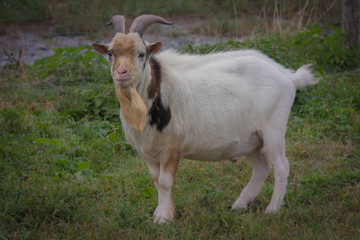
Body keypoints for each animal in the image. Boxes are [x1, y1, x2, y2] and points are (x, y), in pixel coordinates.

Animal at [92, 15, 318, 224]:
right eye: (111, 53)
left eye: (141, 54)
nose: (121, 72)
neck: (156, 90)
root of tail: (287, 76)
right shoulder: (148, 152)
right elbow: (156, 181)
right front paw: (159, 212)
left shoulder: (172, 148)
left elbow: (165, 182)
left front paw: (164, 218)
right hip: (251, 139)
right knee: (261, 168)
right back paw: (240, 204)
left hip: (273, 131)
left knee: (281, 167)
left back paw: (272, 209)